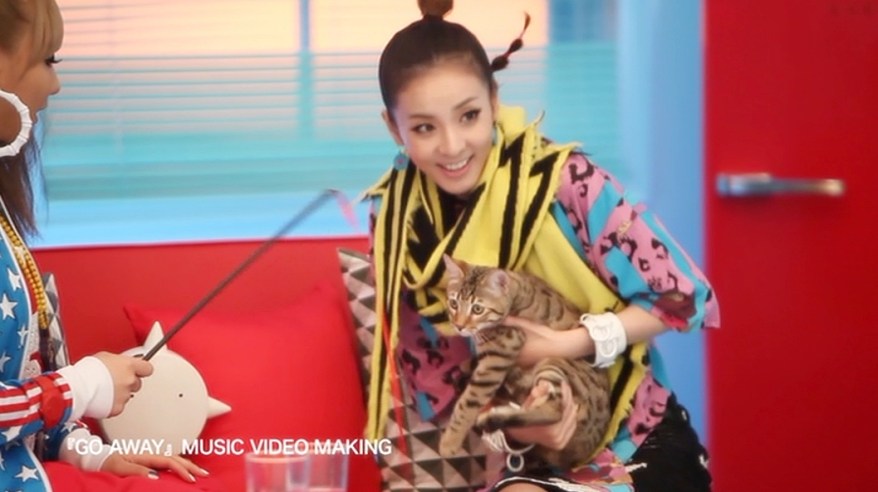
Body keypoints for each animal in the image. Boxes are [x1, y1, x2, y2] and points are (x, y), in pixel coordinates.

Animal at [437, 254, 612, 472]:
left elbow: (467, 403)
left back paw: (495, 417)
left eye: (478, 309)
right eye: (453, 304)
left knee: (554, 411)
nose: (459, 326)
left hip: (556, 363)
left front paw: (450, 442)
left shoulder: (498, 357)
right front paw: (466, 364)